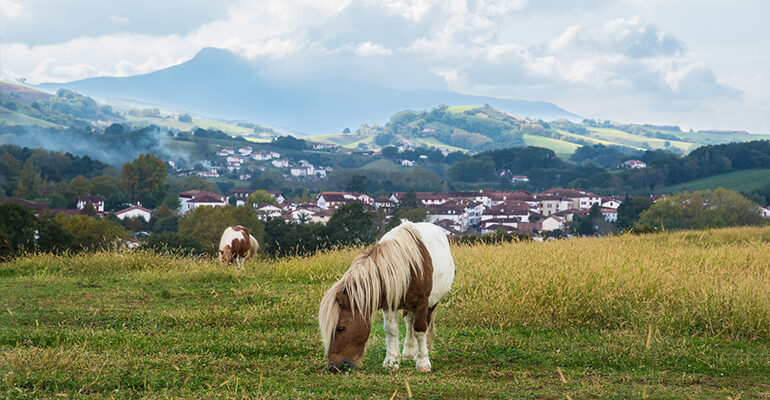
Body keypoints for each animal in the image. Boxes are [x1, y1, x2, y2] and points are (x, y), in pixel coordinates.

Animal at [319, 220, 455, 373]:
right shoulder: (390, 304)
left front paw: (423, 363)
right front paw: (391, 362)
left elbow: (420, 330)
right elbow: (391, 330)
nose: (332, 366)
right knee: (409, 322)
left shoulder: (422, 304)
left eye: (341, 328)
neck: (407, 267)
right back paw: (408, 353)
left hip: (432, 303)